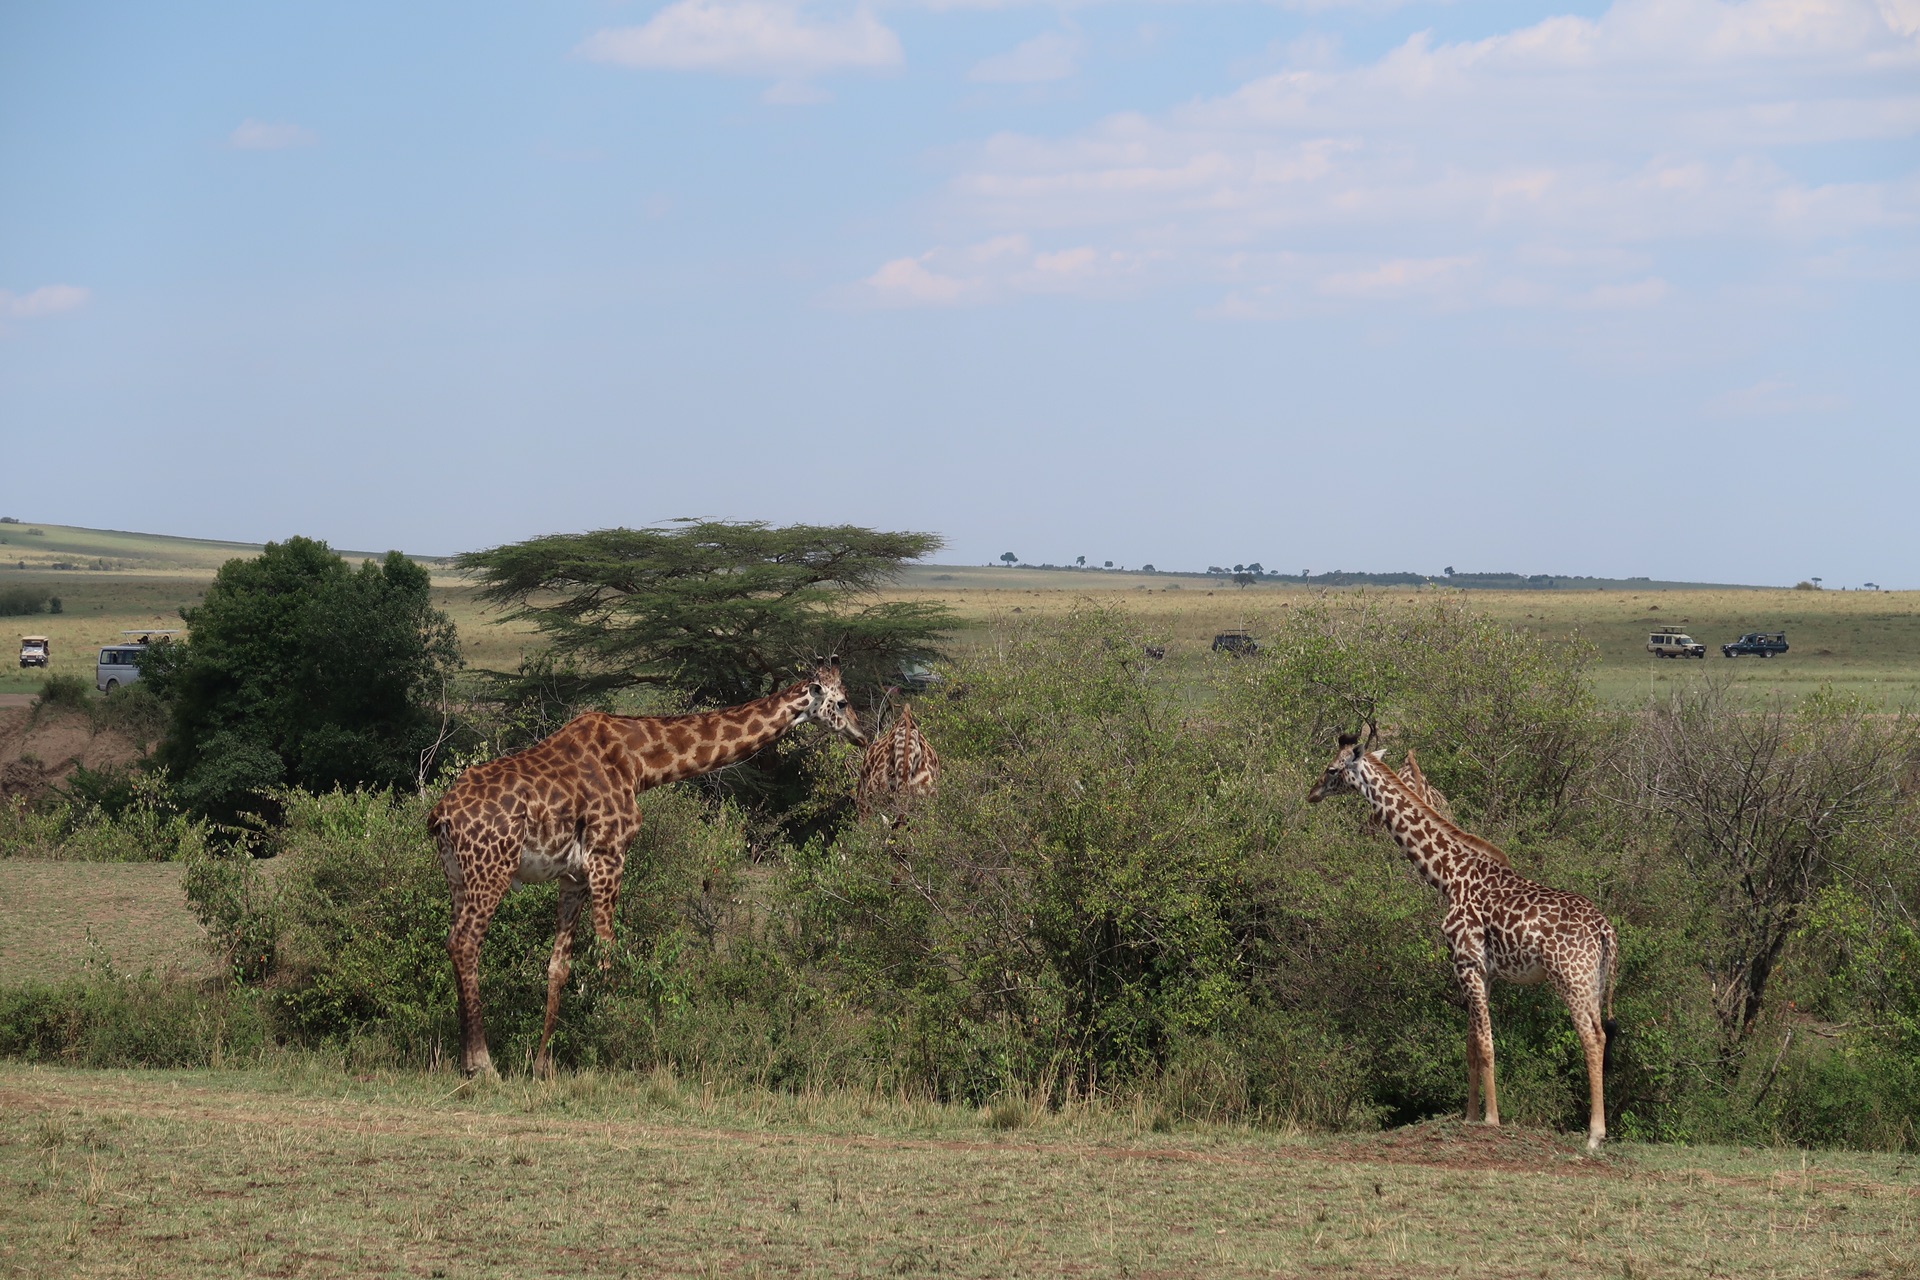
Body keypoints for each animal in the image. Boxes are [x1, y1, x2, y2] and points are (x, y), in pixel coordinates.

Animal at [432, 660, 867, 1082]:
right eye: (843, 702)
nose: (863, 735)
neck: (639, 763)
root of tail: (441, 816)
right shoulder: (609, 855)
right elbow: (608, 955)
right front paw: (609, 1052)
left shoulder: (572, 877)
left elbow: (559, 966)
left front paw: (544, 1066)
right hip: (493, 869)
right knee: (466, 942)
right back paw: (482, 1065)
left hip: (457, 876)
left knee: (454, 942)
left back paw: (466, 1059)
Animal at [1305, 729, 1620, 1151]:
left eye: (1332, 769)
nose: (1313, 793)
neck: (1449, 876)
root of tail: (1605, 931)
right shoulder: (1481, 972)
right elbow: (1471, 1044)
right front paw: (1470, 1117)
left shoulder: (1467, 961)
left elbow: (1486, 1044)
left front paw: (1491, 1120)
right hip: (1594, 980)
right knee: (1600, 1035)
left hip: (1570, 978)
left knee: (1591, 1037)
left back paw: (1594, 1134)